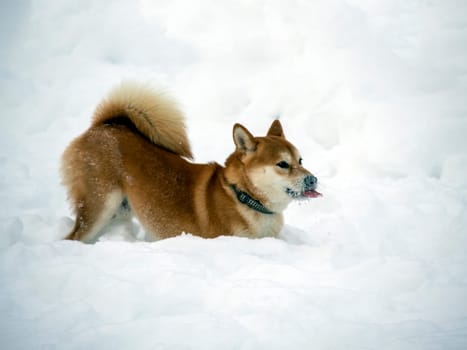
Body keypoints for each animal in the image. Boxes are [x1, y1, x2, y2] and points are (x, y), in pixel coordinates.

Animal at [60, 81, 320, 243]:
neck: (242, 197)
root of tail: (103, 126)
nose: (312, 179)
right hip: (99, 206)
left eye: (300, 160)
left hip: (118, 210)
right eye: (282, 164)